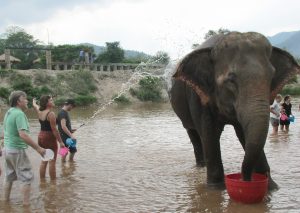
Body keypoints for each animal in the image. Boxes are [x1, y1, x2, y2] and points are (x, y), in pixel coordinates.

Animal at [170, 31, 300, 190]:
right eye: (231, 80)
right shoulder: (198, 95)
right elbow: (209, 132)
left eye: (271, 77)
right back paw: (201, 166)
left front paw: (271, 187)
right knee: (194, 133)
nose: (246, 179)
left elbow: (244, 132)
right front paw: (215, 188)